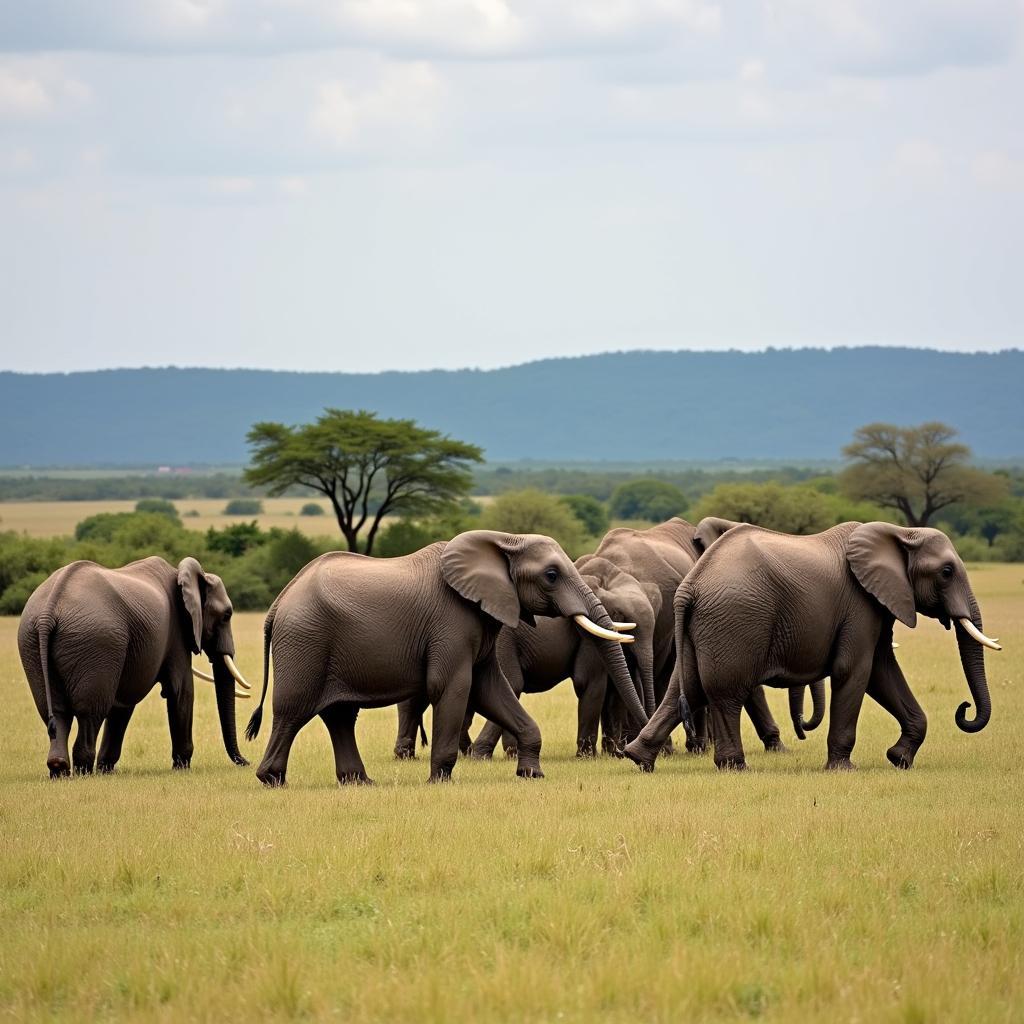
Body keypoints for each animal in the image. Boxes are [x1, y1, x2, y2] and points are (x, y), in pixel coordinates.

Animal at [18, 561, 251, 774]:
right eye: (227, 615)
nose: (246, 762)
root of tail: (50, 610)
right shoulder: (175, 634)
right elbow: (181, 691)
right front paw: (182, 768)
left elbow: (123, 702)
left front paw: (106, 769)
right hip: (96, 642)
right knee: (90, 713)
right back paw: (84, 771)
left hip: (33, 643)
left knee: (57, 713)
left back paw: (59, 769)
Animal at [246, 528, 643, 782]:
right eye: (551, 575)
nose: (628, 752)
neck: (502, 540)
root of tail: (279, 601)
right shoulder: (450, 622)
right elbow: (453, 687)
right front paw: (441, 779)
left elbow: (491, 689)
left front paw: (532, 774)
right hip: (305, 640)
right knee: (293, 710)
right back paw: (272, 779)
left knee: (340, 714)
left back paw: (359, 782)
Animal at [622, 524, 999, 770]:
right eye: (947, 572)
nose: (963, 709)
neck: (902, 533)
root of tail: (691, 585)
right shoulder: (859, 605)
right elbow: (856, 671)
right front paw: (843, 769)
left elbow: (882, 672)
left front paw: (899, 759)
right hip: (735, 619)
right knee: (726, 691)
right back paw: (734, 767)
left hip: (704, 627)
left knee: (687, 687)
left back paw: (639, 759)